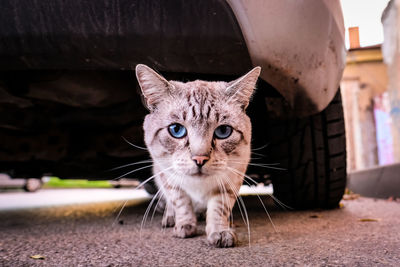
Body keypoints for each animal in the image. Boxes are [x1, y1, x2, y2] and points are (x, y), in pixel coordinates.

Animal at [136, 63, 260, 248]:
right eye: (176, 130)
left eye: (223, 131)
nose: (199, 159)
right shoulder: (168, 177)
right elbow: (181, 203)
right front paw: (185, 225)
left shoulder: (232, 178)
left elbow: (219, 208)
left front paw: (220, 231)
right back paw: (170, 217)